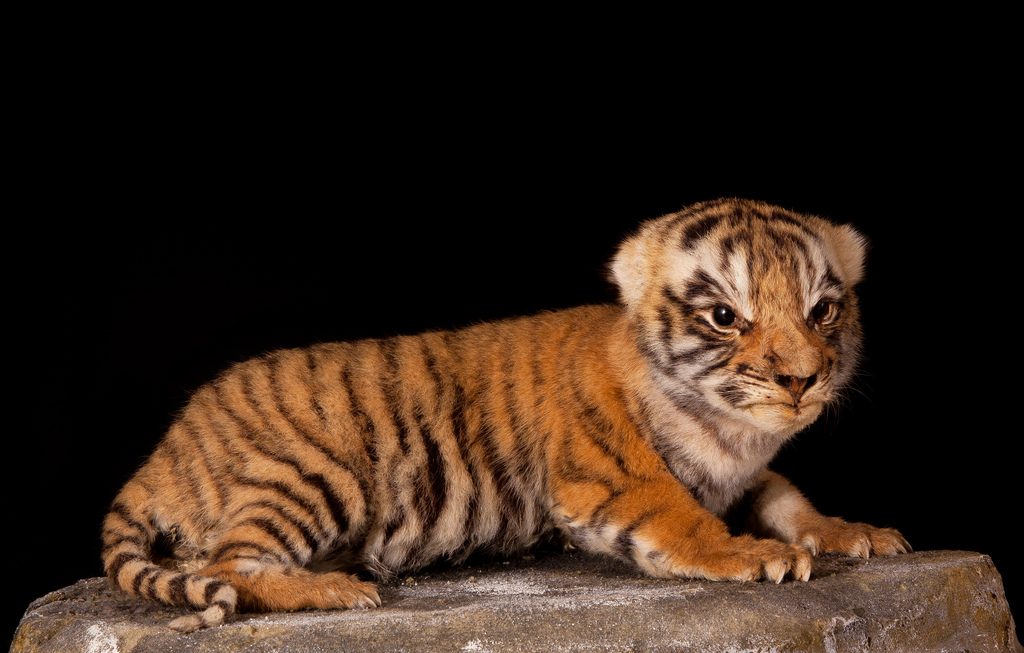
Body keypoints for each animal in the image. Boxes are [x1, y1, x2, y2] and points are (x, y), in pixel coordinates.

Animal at [101, 198, 910, 632]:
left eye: (823, 310)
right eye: (724, 317)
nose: (801, 380)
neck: (727, 429)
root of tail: (164, 450)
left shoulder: (746, 470)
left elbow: (788, 496)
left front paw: (855, 532)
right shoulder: (610, 479)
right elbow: (682, 518)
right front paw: (754, 555)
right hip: (315, 472)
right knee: (229, 562)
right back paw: (333, 589)